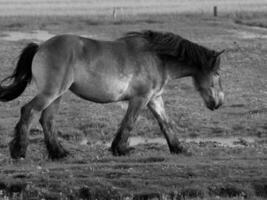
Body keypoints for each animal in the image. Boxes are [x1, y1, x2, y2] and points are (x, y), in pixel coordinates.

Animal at [0, 30, 226, 159]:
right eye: (217, 73)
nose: (218, 102)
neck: (158, 58)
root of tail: (40, 46)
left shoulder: (154, 98)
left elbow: (166, 123)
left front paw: (178, 148)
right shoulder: (141, 98)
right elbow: (129, 122)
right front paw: (120, 149)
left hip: (57, 95)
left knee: (46, 119)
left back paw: (59, 153)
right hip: (51, 92)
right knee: (29, 111)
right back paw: (19, 151)